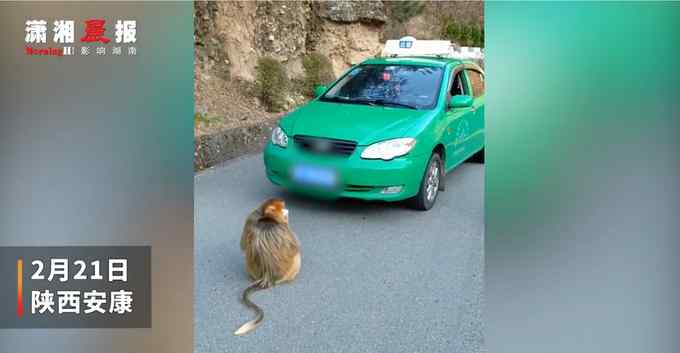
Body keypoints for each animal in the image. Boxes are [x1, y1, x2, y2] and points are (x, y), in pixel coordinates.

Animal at [235, 197, 302, 334]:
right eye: (281, 207)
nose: (286, 210)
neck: (266, 217)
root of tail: (267, 276)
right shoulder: (282, 227)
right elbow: (295, 248)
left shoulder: (251, 217)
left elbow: (243, 245)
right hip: (291, 269)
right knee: (297, 256)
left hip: (251, 269)